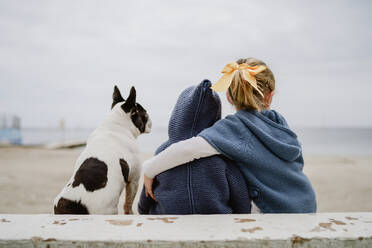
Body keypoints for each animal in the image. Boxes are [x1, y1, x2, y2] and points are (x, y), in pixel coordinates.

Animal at [53, 86, 151, 214]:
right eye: (145, 113)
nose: (150, 118)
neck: (116, 125)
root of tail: (77, 204)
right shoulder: (134, 179)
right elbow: (128, 203)